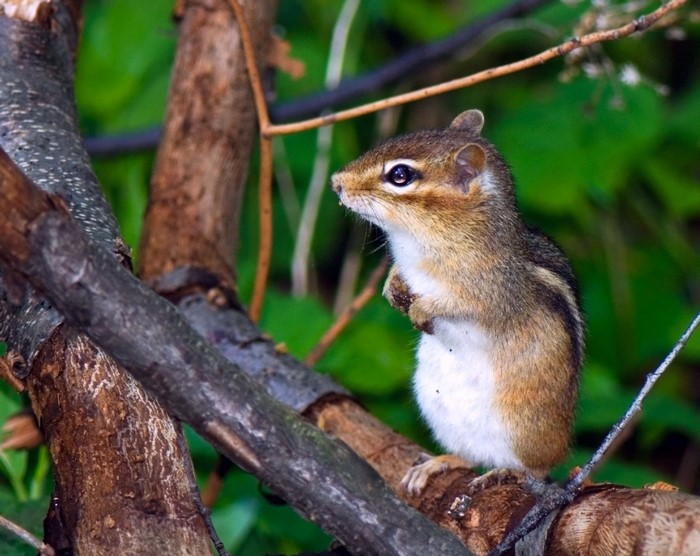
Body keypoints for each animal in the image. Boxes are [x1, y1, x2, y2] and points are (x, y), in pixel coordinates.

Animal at [330, 109, 584, 494]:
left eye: (400, 175)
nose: (335, 182)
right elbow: (398, 277)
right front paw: (392, 287)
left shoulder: (490, 290)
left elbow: (463, 305)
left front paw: (423, 309)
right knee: (468, 456)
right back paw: (440, 463)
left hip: (524, 429)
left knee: (538, 469)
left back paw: (508, 472)